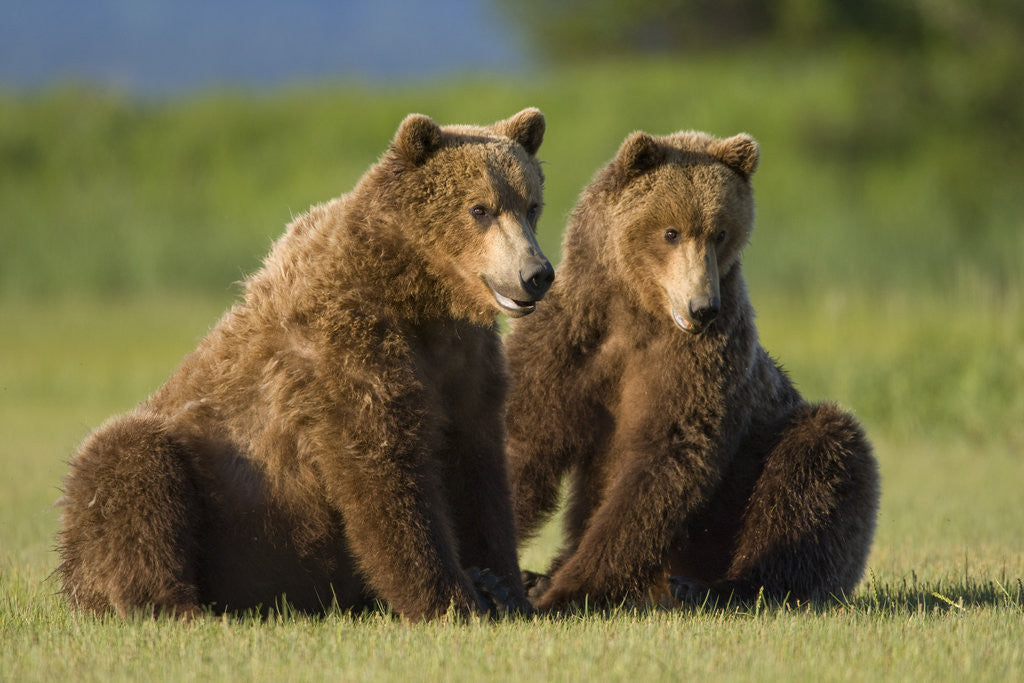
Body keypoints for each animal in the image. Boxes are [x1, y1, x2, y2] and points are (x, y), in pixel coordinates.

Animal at [58, 109, 552, 622]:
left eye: (531, 205)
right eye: (480, 209)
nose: (536, 273)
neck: (420, 296)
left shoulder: (464, 365)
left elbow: (478, 474)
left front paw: (503, 585)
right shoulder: (346, 345)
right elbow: (384, 469)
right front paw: (453, 599)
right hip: (197, 488)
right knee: (126, 469)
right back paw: (182, 605)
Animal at [503, 127, 880, 610]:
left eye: (719, 233)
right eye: (670, 231)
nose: (703, 307)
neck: (639, 314)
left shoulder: (703, 363)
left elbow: (665, 460)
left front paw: (571, 590)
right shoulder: (568, 341)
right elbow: (524, 436)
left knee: (817, 464)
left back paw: (707, 587)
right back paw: (539, 576)